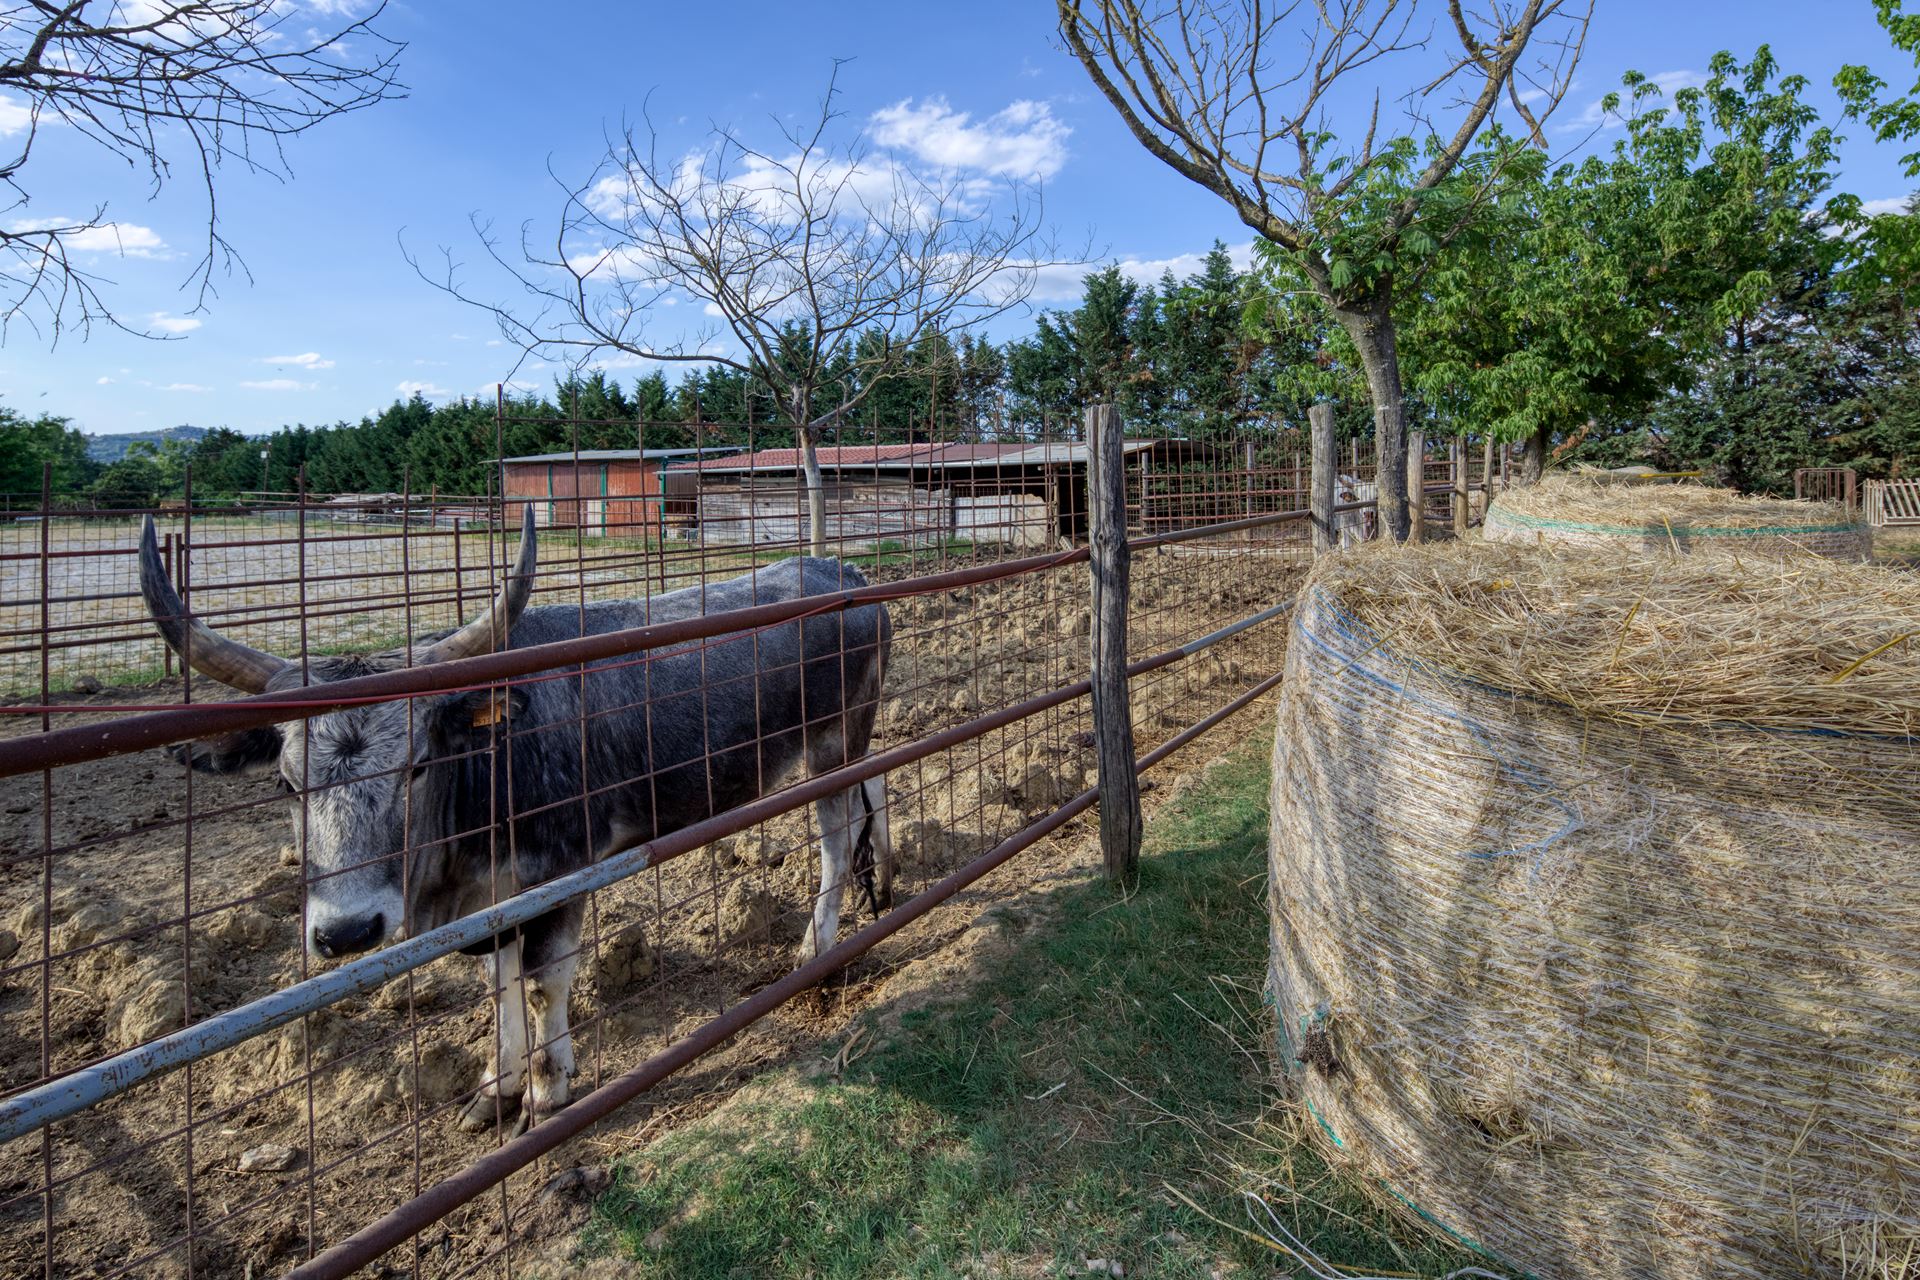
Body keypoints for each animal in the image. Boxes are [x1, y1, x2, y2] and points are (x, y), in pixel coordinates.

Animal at [142, 510, 890, 1128]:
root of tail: (841, 572)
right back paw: (883, 880)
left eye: (418, 764)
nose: (347, 931)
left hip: (831, 742)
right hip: (851, 738)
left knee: (833, 834)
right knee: (871, 793)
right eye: (286, 782)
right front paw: (495, 1087)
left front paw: (547, 1087)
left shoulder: (562, 871)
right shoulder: (490, 898)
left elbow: (540, 981)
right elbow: (498, 983)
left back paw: (817, 946)